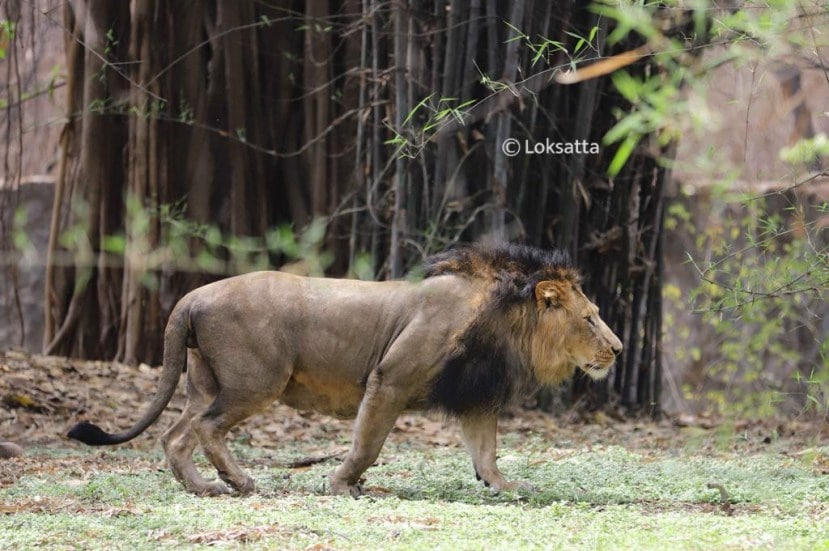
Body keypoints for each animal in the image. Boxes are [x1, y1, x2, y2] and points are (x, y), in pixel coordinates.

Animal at [69, 244, 620, 498]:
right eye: (590, 318)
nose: (616, 349)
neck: (508, 324)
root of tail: (193, 295)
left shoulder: (474, 398)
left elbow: (486, 454)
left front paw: (508, 487)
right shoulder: (389, 378)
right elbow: (367, 443)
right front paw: (342, 485)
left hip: (206, 384)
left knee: (175, 435)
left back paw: (202, 488)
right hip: (255, 383)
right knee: (205, 430)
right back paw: (240, 481)